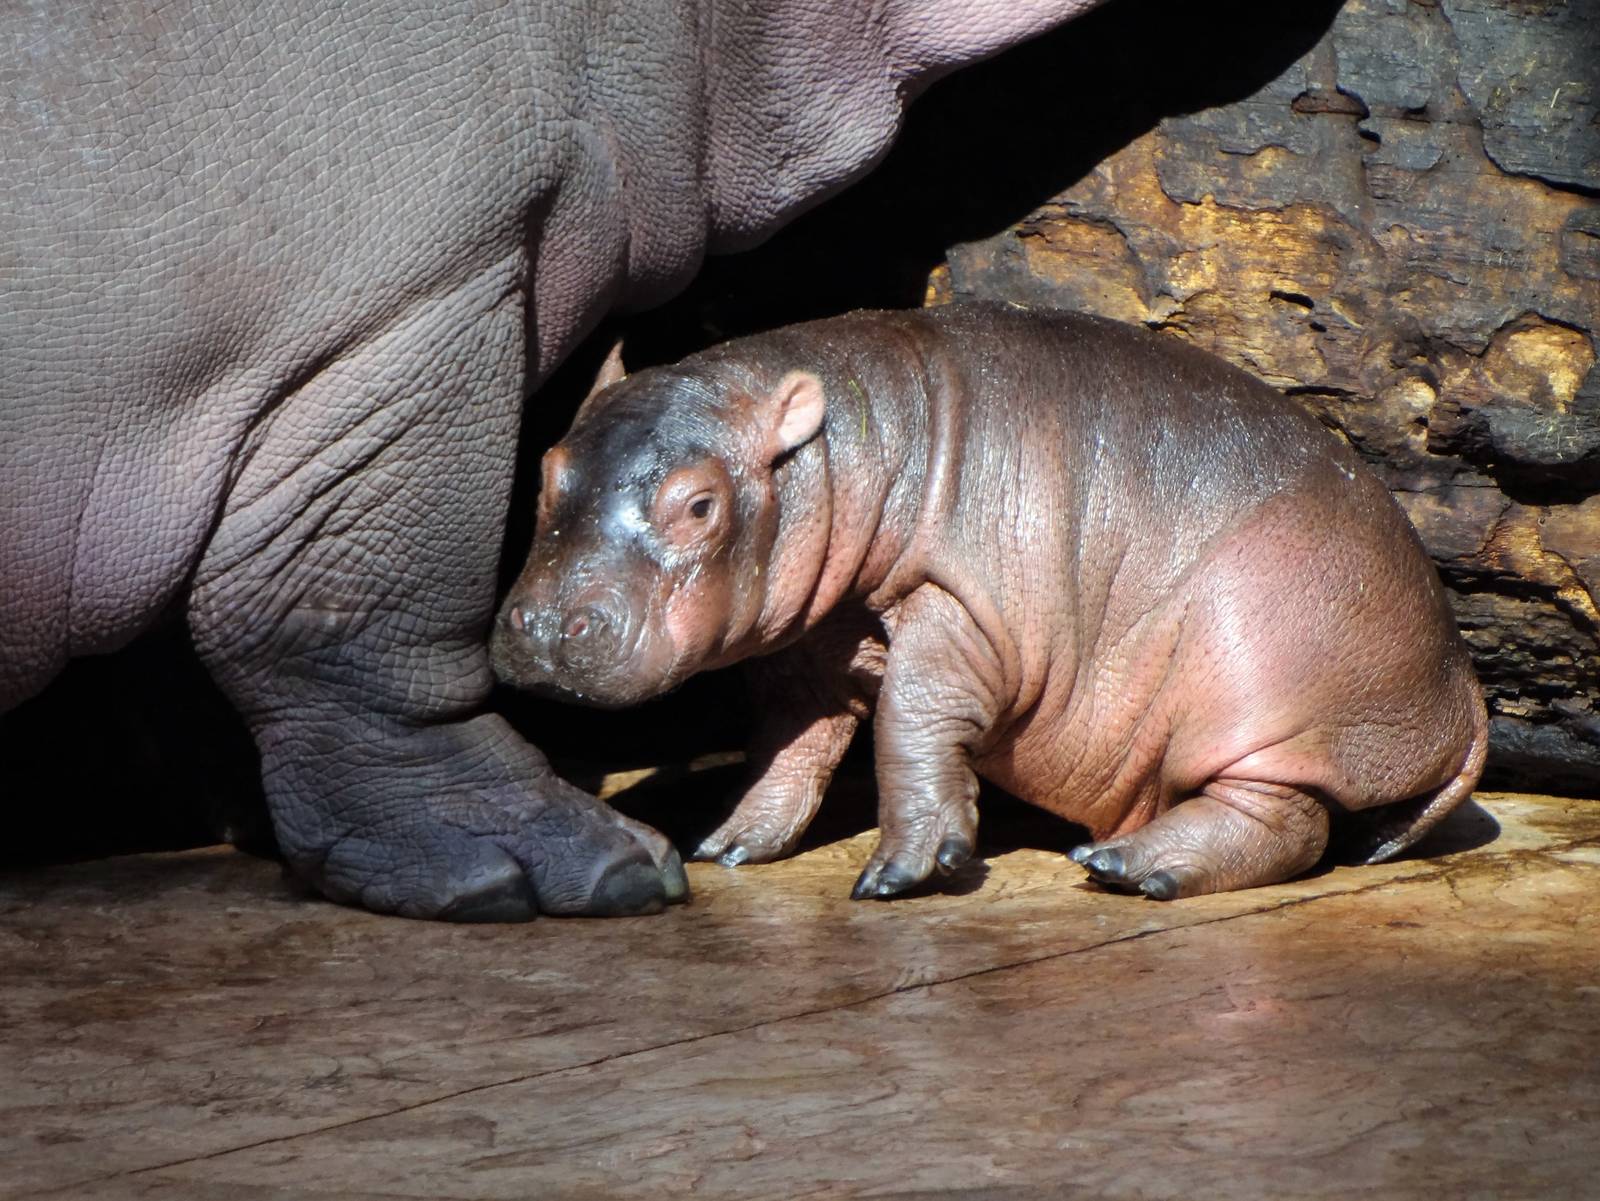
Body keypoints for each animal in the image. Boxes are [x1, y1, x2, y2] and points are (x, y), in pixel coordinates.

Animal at [493, 303, 1488, 901]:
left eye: (699, 504)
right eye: (545, 469)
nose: (540, 626)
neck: (854, 444)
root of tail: (1463, 678)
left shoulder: (959, 603)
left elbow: (911, 718)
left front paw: (901, 874)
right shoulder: (816, 637)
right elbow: (789, 741)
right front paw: (724, 846)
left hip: (1265, 686)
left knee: (1285, 821)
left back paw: (1128, 866)